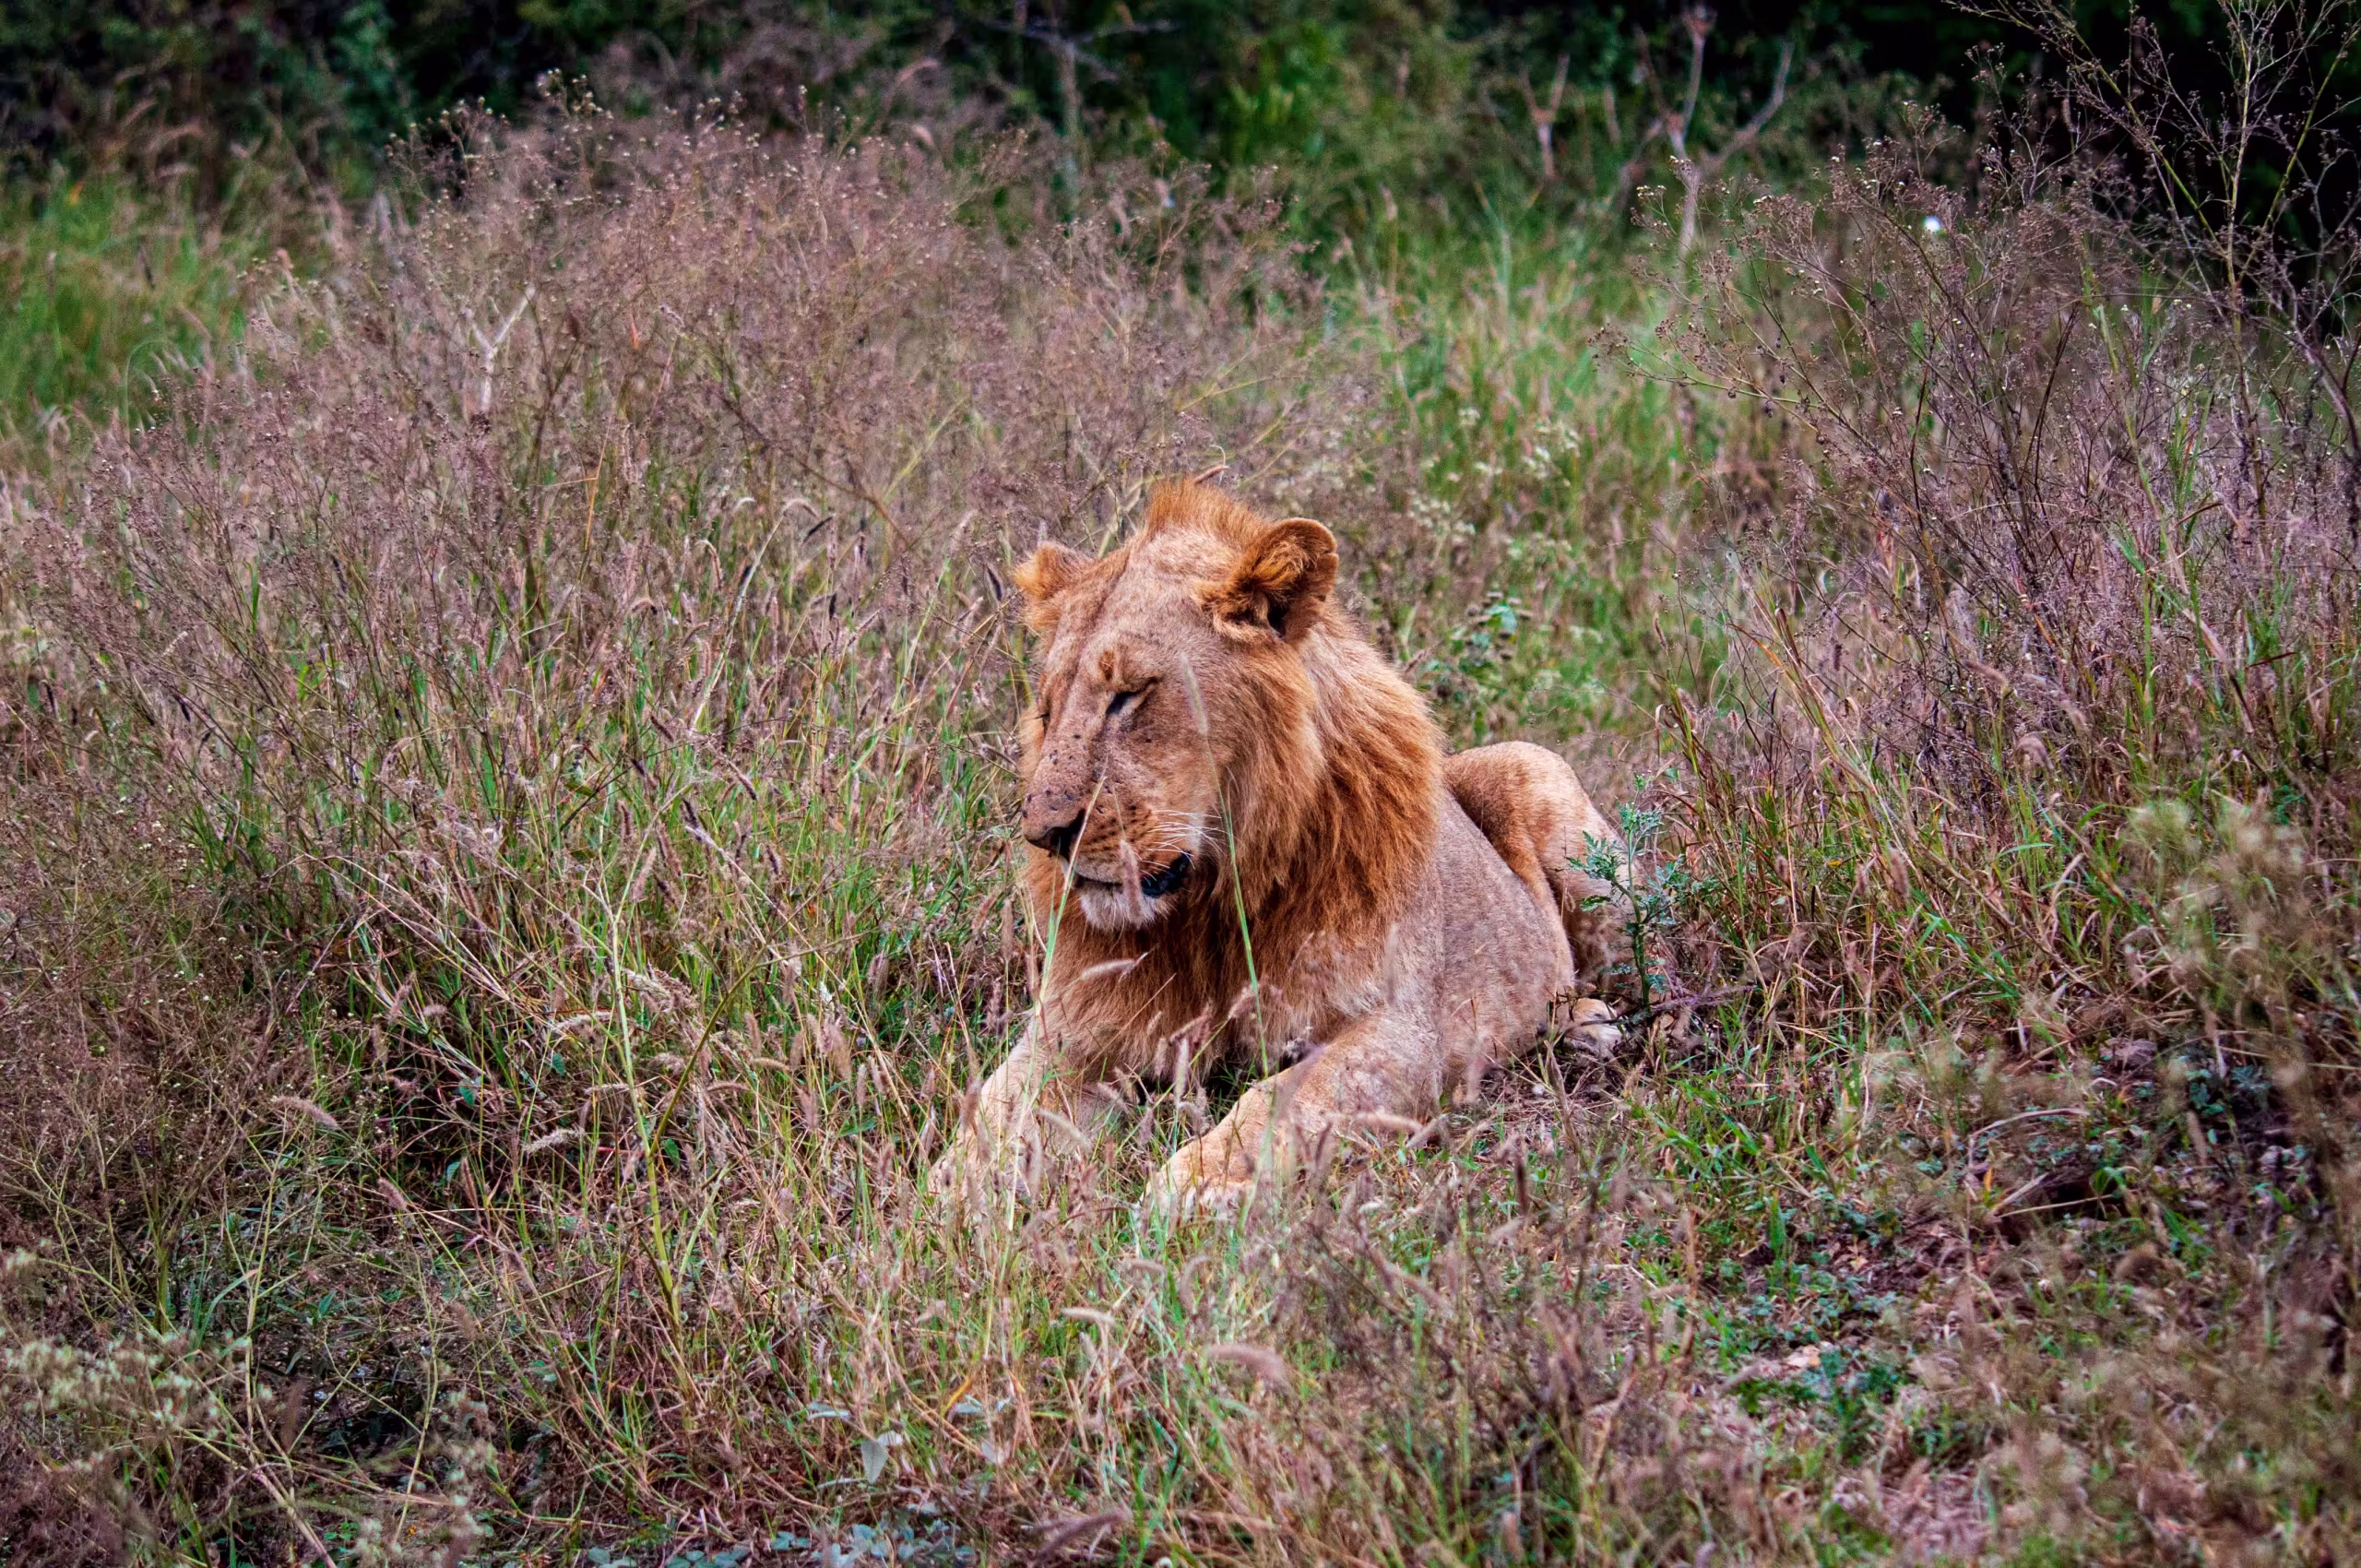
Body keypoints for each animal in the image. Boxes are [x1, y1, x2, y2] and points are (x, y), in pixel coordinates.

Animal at [934, 480, 1629, 1217]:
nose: (1043, 834)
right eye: (1047, 707)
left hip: (1544, 787)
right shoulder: (1075, 1029)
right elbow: (1000, 1107)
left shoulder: (1400, 1028)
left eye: (1129, 695)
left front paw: (1195, 1183)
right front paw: (957, 1190)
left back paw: (1590, 1024)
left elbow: (1284, 1099)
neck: (1208, 904)